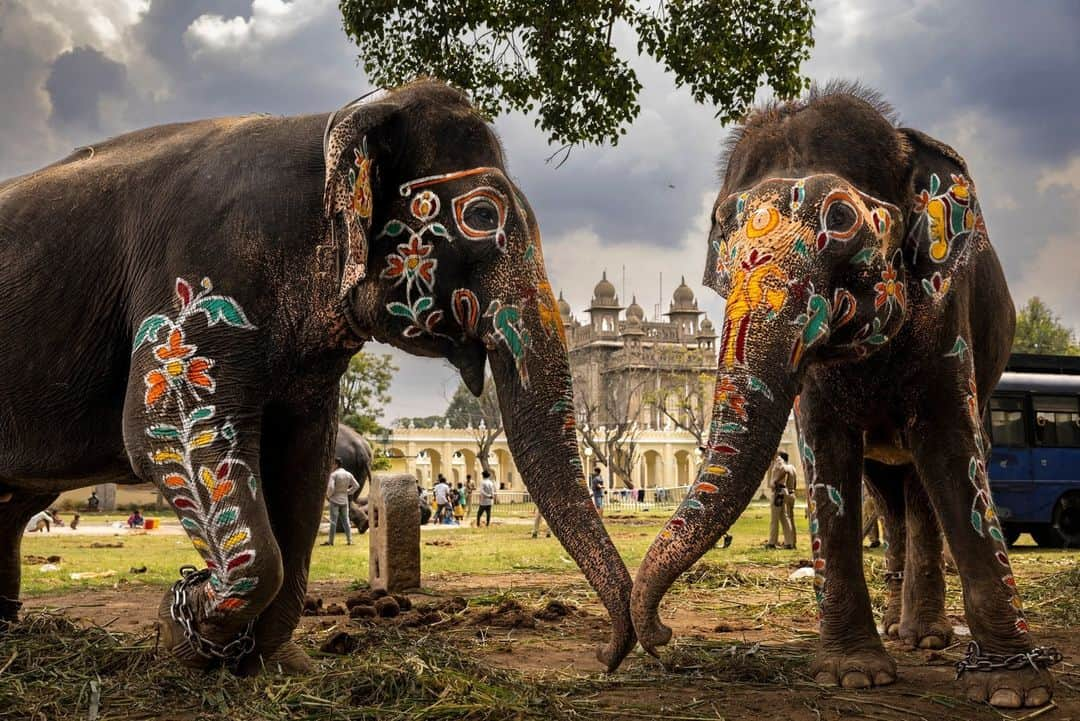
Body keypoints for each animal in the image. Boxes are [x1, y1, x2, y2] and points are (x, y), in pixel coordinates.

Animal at [0, 81, 635, 673]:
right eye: (481, 217)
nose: (607, 654)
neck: (329, 127)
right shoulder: (195, 276)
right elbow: (161, 433)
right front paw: (178, 631)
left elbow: (303, 464)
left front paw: (271, 664)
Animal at [630, 81, 1058, 708]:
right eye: (720, 233)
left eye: (841, 216)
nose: (661, 635)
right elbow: (825, 452)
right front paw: (853, 674)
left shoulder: (946, 309)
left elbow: (952, 449)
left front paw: (1013, 690)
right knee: (889, 493)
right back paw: (902, 629)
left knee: (922, 489)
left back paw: (926, 637)